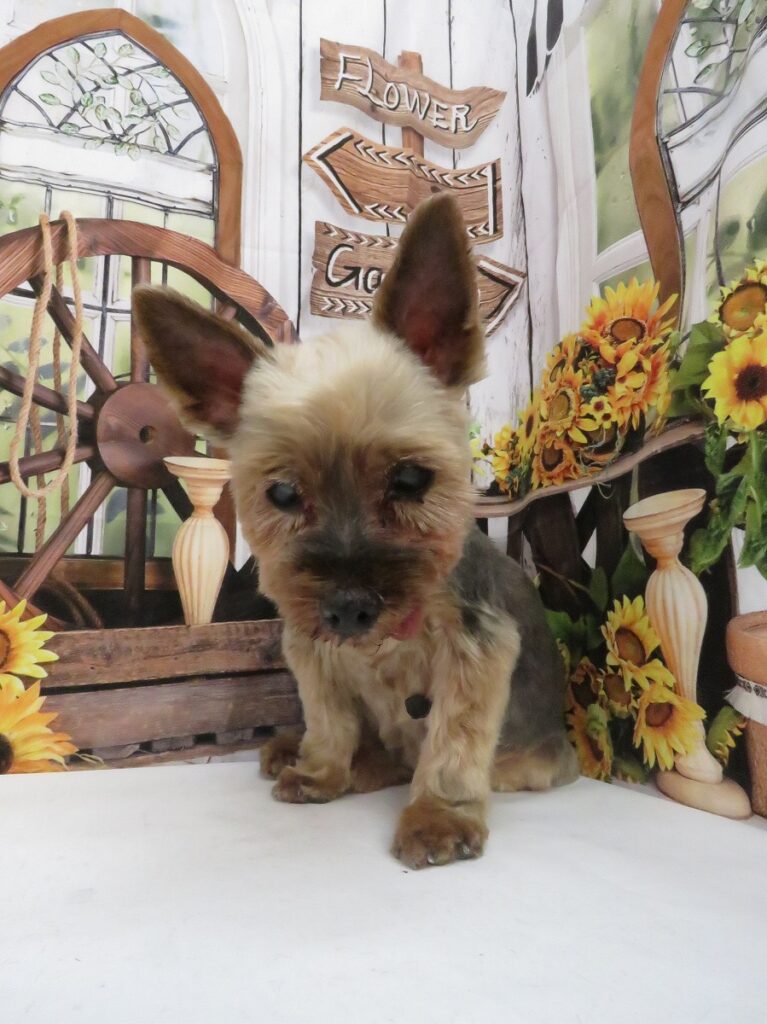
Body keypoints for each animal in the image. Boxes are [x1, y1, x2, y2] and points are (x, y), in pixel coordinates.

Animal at [134, 193, 578, 869]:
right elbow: (330, 721)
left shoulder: (477, 647)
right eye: (282, 493)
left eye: (411, 478)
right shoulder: (312, 647)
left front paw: (438, 818)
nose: (348, 608)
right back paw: (302, 753)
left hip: (530, 761)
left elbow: (453, 742)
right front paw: (321, 772)